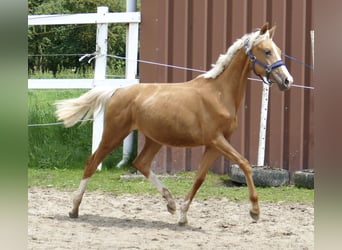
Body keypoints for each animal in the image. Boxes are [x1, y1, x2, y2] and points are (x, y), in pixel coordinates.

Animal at [56, 23, 294, 226]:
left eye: (278, 50)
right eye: (266, 51)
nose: (287, 81)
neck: (219, 93)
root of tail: (119, 90)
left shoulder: (214, 145)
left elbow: (199, 178)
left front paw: (182, 216)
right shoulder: (217, 139)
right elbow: (245, 164)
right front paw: (255, 211)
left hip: (154, 139)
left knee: (141, 163)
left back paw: (170, 203)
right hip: (115, 133)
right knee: (92, 162)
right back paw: (74, 209)